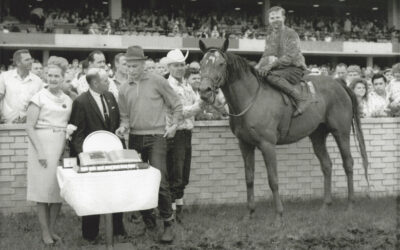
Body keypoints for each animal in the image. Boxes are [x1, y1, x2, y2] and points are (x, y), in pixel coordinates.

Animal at [197, 39, 368, 225]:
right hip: (317, 135)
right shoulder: (245, 145)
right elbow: (249, 178)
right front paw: (249, 213)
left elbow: (273, 180)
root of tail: (340, 84)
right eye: (201, 63)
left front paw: (278, 215)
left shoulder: (267, 145)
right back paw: (325, 206)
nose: (204, 91)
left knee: (348, 163)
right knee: (327, 165)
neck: (251, 98)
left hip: (341, 132)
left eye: (221, 64)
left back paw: (350, 206)